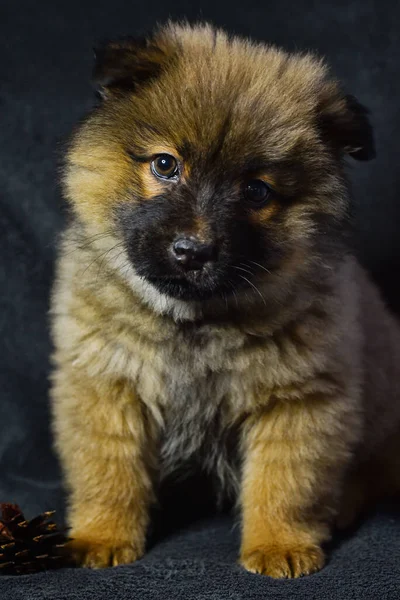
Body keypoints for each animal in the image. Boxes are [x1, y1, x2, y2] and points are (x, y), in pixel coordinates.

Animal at [50, 22, 400, 576]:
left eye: (256, 192)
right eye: (166, 165)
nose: (192, 252)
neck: (195, 322)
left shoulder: (299, 401)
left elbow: (284, 483)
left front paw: (278, 544)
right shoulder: (107, 384)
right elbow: (109, 469)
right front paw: (100, 535)